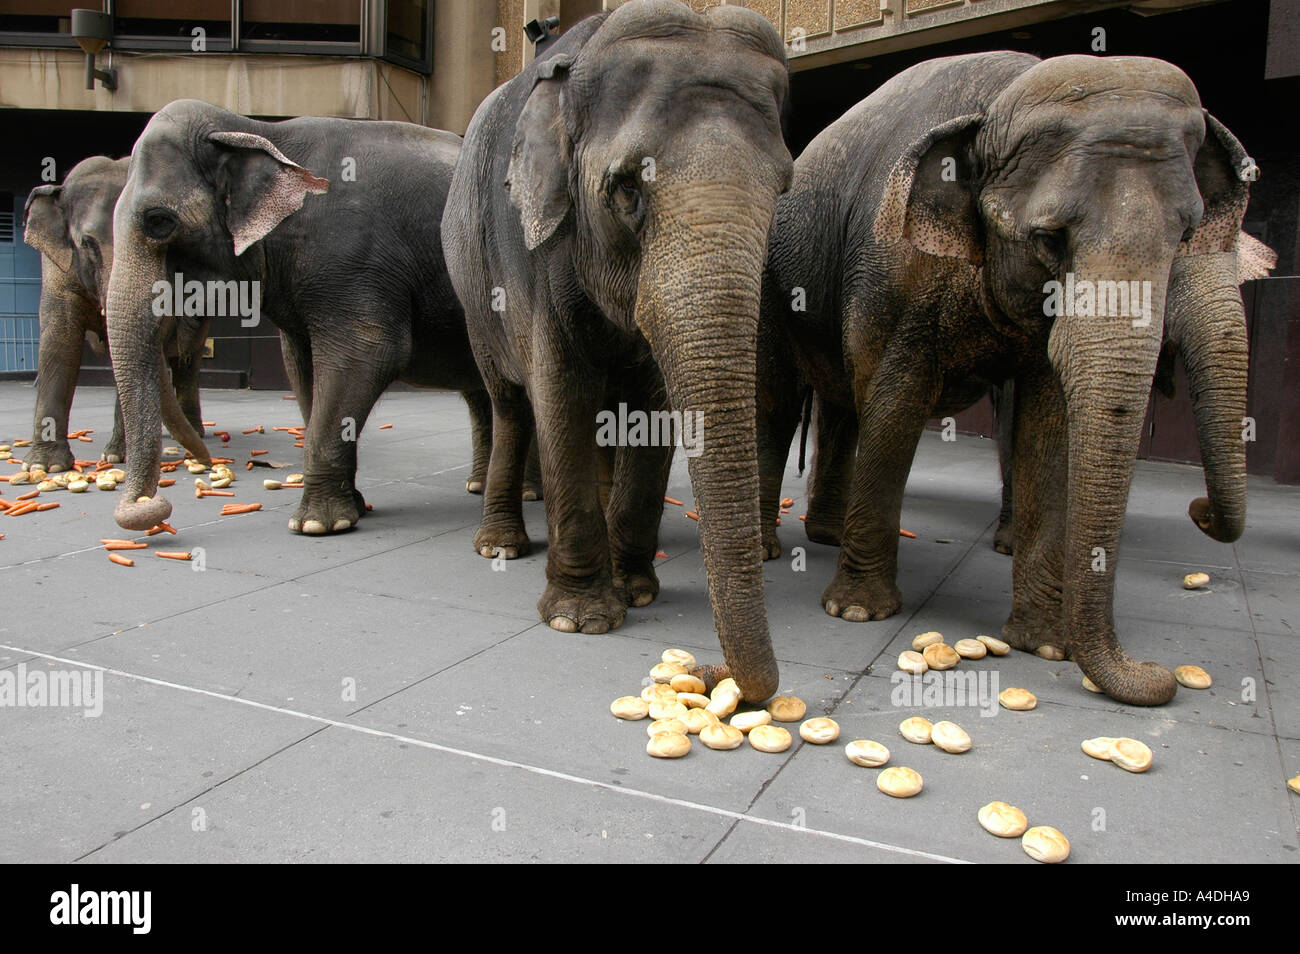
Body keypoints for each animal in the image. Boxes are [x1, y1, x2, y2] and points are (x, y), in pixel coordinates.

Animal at [21, 157, 209, 478]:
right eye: (87, 243)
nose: (206, 461)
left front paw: (119, 456)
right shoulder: (57, 266)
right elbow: (59, 340)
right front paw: (47, 466)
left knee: (187, 359)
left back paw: (192, 433)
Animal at [105, 102, 522, 538]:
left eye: (159, 222)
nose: (155, 507)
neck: (257, 130)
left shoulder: (353, 260)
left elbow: (366, 355)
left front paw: (316, 525)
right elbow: (300, 368)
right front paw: (352, 510)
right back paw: (486, 488)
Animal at [444, 0, 790, 701]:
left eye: (782, 191)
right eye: (627, 190)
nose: (715, 674)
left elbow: (651, 411)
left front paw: (637, 591)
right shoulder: (534, 245)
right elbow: (561, 393)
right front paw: (581, 619)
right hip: (473, 293)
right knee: (510, 403)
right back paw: (500, 547)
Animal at [759, 54, 1258, 712]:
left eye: (1184, 238)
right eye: (1048, 239)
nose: (1162, 675)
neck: (997, 106)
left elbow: (1046, 420)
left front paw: (1043, 644)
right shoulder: (891, 271)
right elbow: (896, 398)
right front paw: (856, 613)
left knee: (840, 406)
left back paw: (826, 536)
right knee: (783, 402)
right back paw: (771, 549)